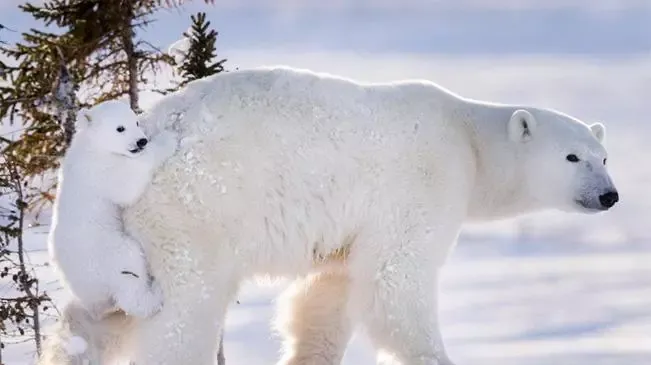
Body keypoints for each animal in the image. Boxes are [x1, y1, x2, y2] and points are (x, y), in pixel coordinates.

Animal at [45, 99, 178, 318]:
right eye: (120, 128)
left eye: (136, 122)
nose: (142, 141)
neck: (92, 146)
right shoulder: (101, 171)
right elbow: (129, 185)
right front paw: (168, 138)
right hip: (106, 252)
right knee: (129, 269)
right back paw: (156, 293)